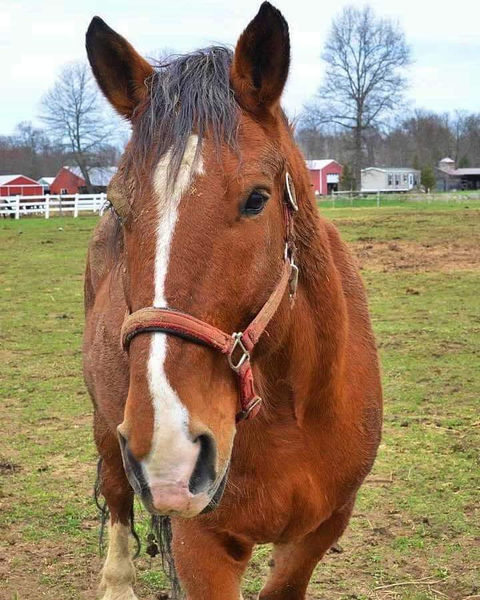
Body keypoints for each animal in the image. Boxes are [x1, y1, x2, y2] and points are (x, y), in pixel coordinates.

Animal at [83, 3, 382, 599]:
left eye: (257, 200)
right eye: (118, 206)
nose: (169, 453)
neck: (293, 412)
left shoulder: (320, 531)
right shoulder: (203, 546)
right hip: (110, 429)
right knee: (119, 499)